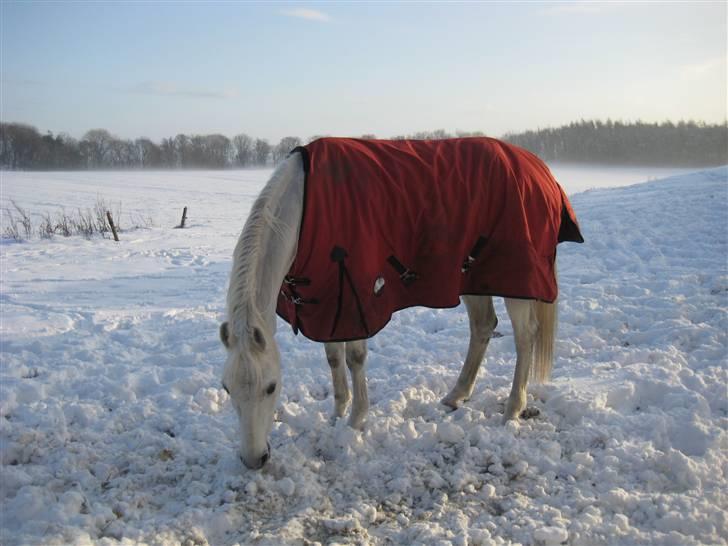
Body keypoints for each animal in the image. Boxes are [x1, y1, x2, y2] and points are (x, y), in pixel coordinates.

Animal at [219, 136, 584, 468]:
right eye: (227, 389)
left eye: (271, 387)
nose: (254, 459)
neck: (305, 207)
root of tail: (538, 167)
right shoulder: (326, 301)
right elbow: (333, 358)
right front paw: (337, 412)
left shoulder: (357, 297)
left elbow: (354, 358)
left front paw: (356, 420)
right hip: (474, 273)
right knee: (483, 327)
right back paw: (456, 395)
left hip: (515, 278)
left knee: (525, 336)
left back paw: (512, 409)